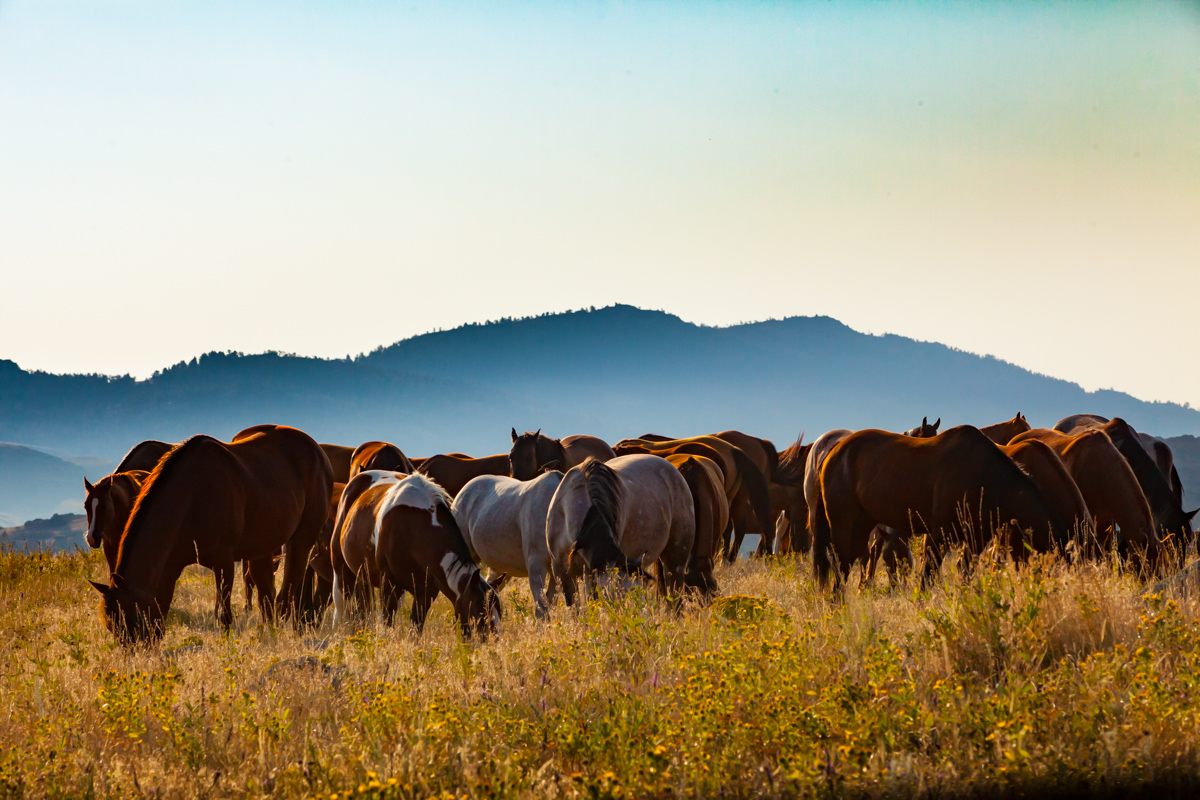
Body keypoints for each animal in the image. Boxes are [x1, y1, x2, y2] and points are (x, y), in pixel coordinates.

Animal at [90, 426, 332, 643]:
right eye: (112, 626)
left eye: (133, 619)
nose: (136, 654)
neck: (192, 496)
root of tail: (318, 452)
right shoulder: (170, 567)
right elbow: (162, 610)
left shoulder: (223, 562)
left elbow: (222, 615)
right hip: (262, 549)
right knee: (267, 597)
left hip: (301, 541)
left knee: (288, 593)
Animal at [331, 471, 502, 637]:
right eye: (480, 614)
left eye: (499, 612)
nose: (494, 643)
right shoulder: (389, 584)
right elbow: (387, 623)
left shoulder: (426, 592)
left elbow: (415, 630)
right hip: (342, 571)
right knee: (341, 609)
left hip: (364, 575)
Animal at [811, 426, 1064, 590]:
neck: (985, 476)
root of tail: (833, 452)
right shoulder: (939, 536)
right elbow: (927, 579)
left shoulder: (975, 539)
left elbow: (965, 573)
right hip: (845, 528)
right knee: (840, 569)